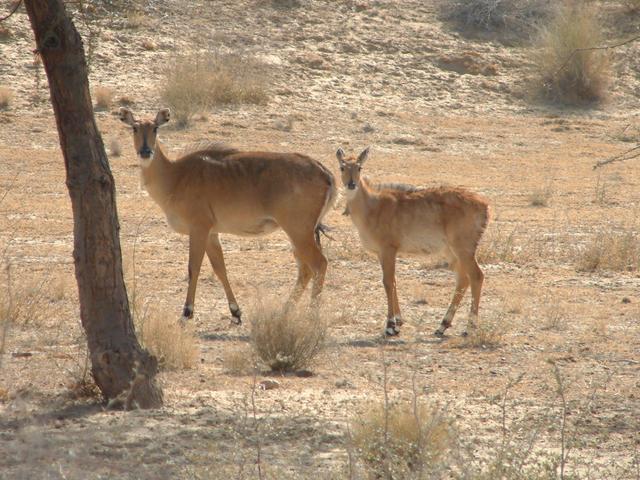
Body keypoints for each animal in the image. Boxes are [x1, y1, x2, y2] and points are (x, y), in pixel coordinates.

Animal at [121, 108, 340, 326]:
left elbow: (194, 268)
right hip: (298, 233)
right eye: (134, 128)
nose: (145, 151)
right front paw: (236, 312)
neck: (175, 176)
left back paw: (312, 315)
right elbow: (220, 269)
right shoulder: (211, 233)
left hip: (298, 230)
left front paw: (186, 312)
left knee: (319, 264)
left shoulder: (198, 228)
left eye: (155, 128)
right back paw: (284, 311)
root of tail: (325, 173)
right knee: (305, 269)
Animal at [336, 146, 490, 338]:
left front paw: (390, 325)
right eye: (342, 167)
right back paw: (442, 326)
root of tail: (485, 206)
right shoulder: (381, 253)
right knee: (463, 280)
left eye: (359, 167)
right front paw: (398, 322)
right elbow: (393, 280)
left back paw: (469, 328)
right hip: (451, 252)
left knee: (476, 276)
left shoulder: (388, 248)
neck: (372, 206)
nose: (351, 184)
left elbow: (388, 281)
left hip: (464, 248)